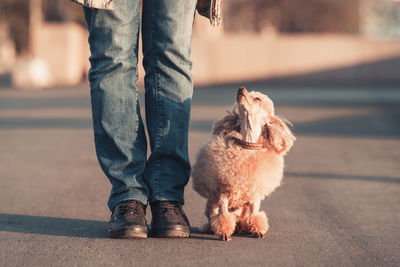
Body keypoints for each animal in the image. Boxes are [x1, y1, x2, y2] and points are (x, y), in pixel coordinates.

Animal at [192, 87, 296, 242]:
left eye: (257, 99)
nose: (241, 89)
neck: (247, 145)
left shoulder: (254, 195)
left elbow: (254, 214)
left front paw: (257, 230)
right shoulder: (223, 192)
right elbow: (223, 215)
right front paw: (224, 233)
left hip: (243, 210)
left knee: (243, 219)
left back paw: (243, 228)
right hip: (211, 205)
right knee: (214, 216)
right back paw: (212, 228)